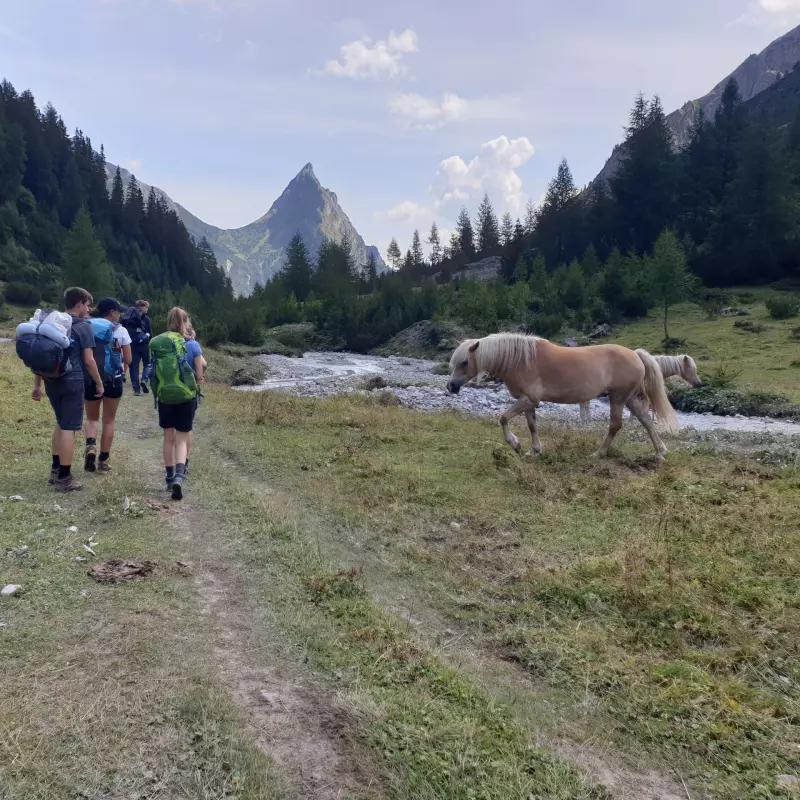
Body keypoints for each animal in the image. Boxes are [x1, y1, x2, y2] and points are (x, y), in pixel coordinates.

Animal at [446, 332, 680, 460]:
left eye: (464, 362)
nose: (451, 386)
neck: (520, 359)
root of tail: (636, 354)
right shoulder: (528, 402)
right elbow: (532, 426)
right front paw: (534, 451)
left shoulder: (527, 400)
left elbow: (503, 418)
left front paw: (515, 444)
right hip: (628, 398)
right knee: (646, 420)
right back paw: (660, 452)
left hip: (618, 398)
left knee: (615, 425)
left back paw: (599, 453)